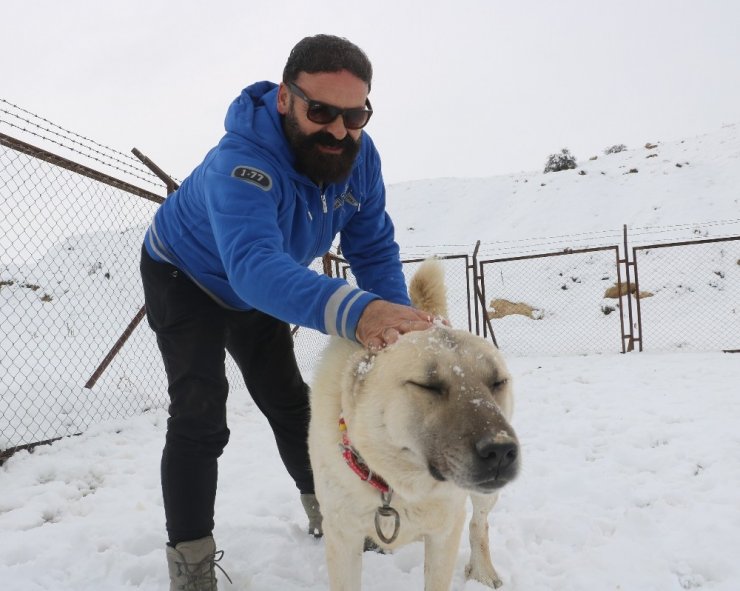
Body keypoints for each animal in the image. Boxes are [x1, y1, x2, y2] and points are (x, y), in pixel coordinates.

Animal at [308, 262, 520, 588]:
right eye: (427, 385)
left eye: (497, 382)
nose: (500, 451)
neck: (394, 486)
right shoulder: (342, 537)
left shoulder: (444, 532)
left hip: (484, 496)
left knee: (478, 524)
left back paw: (483, 570)